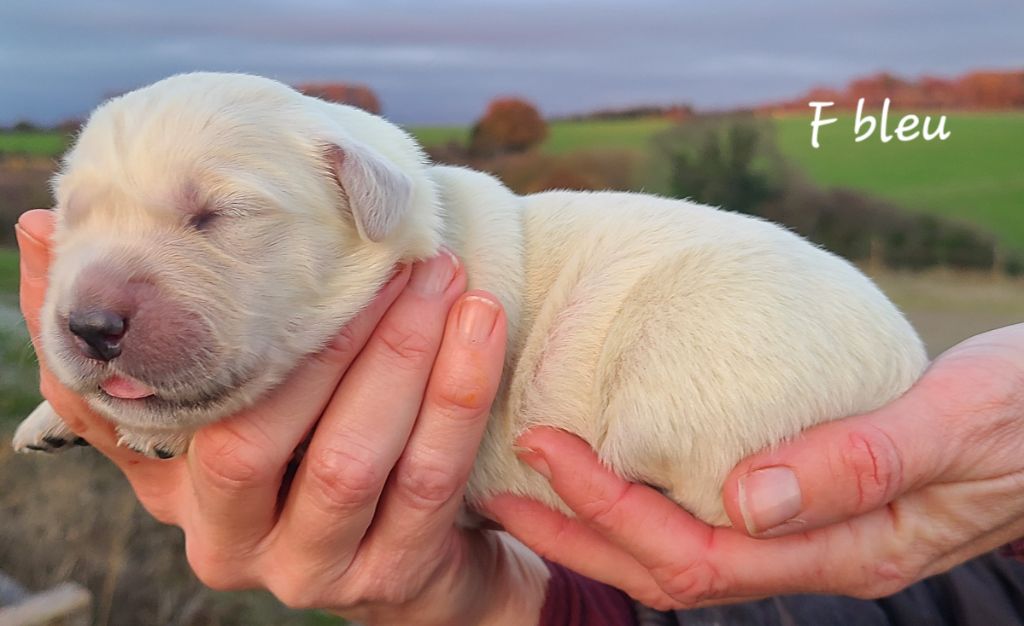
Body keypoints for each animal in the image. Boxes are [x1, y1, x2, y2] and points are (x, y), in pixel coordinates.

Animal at [12, 72, 925, 524]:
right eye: (75, 214)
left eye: (218, 216)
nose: (89, 325)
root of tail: (909, 365)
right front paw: (53, 419)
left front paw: (153, 431)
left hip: (680, 371)